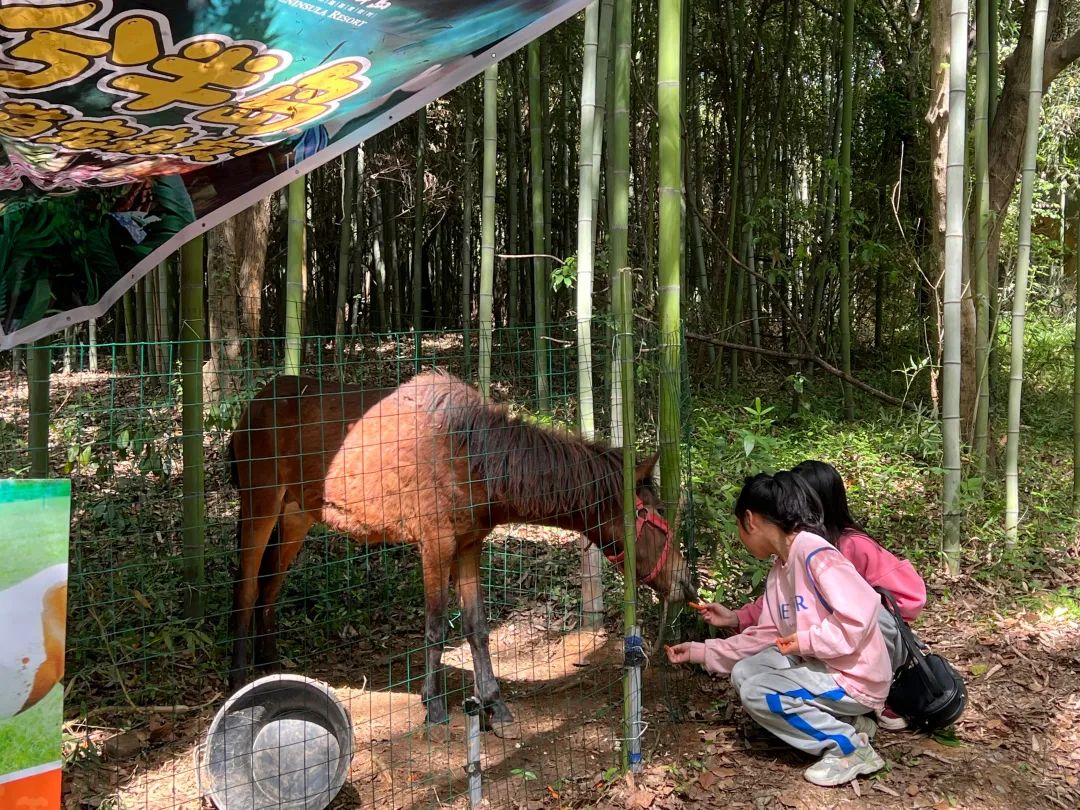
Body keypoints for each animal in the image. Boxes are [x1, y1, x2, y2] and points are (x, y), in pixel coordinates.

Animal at [228, 371, 697, 731]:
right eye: (654, 512)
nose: (685, 582)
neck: (476, 459)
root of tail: (252, 406)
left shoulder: (469, 546)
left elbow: (477, 627)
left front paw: (493, 702)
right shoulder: (435, 546)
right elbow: (436, 628)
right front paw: (434, 706)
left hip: (297, 516)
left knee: (270, 588)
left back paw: (271, 664)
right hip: (259, 506)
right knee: (246, 589)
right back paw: (238, 678)